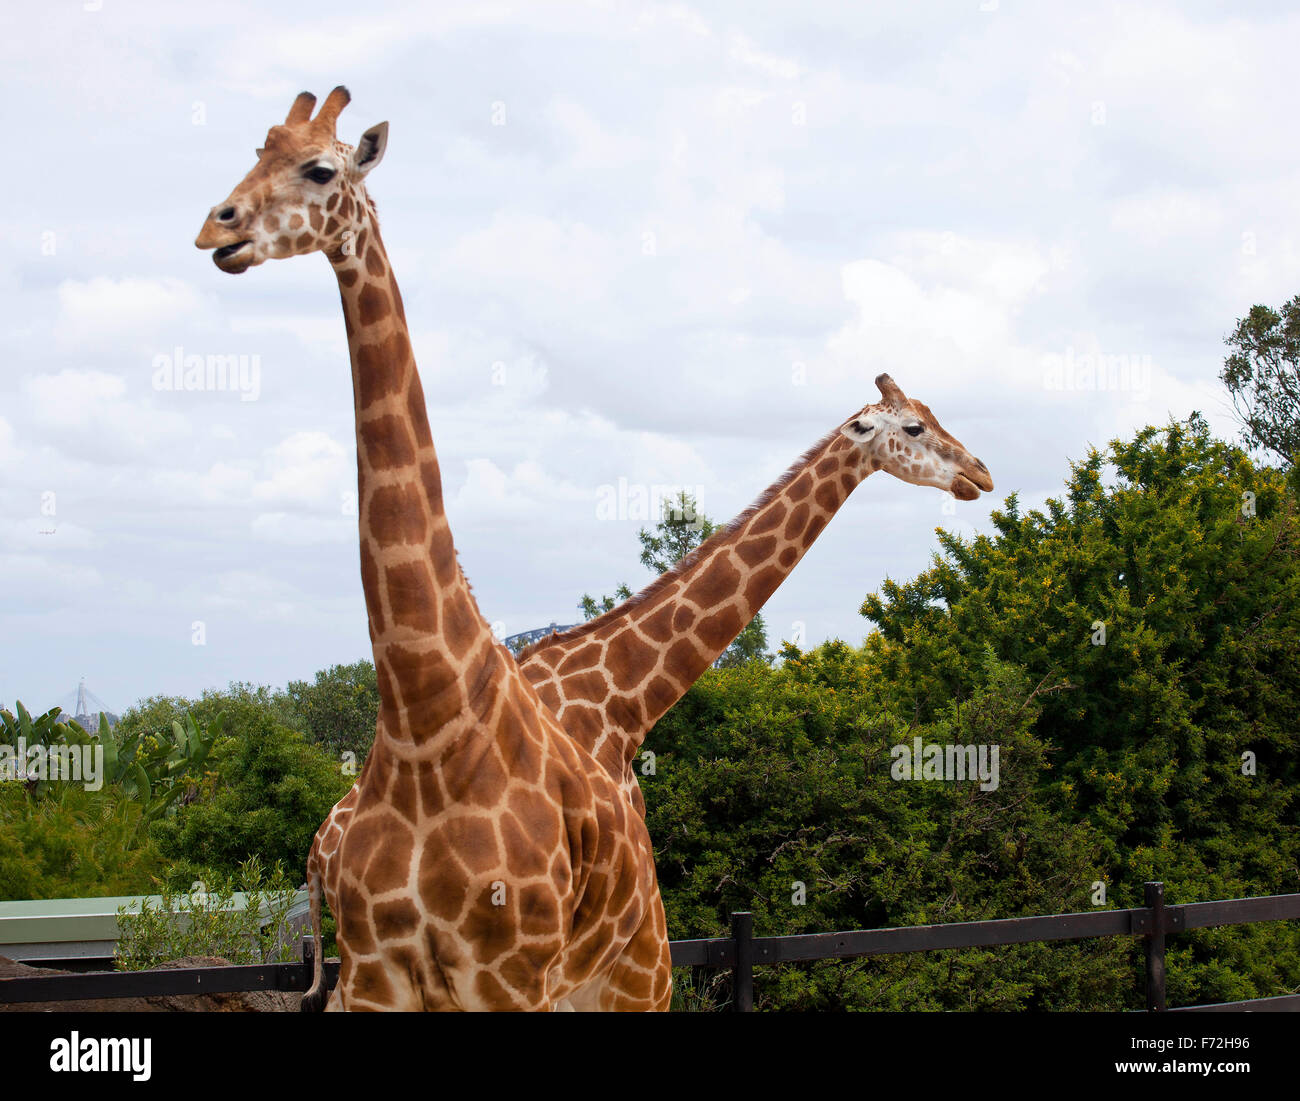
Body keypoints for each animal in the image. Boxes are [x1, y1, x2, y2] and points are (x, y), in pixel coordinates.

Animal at [197, 90, 676, 1013]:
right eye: (252, 154)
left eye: (321, 168)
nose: (215, 228)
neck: (424, 720)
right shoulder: (376, 972)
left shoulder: (510, 975)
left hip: (636, 974)